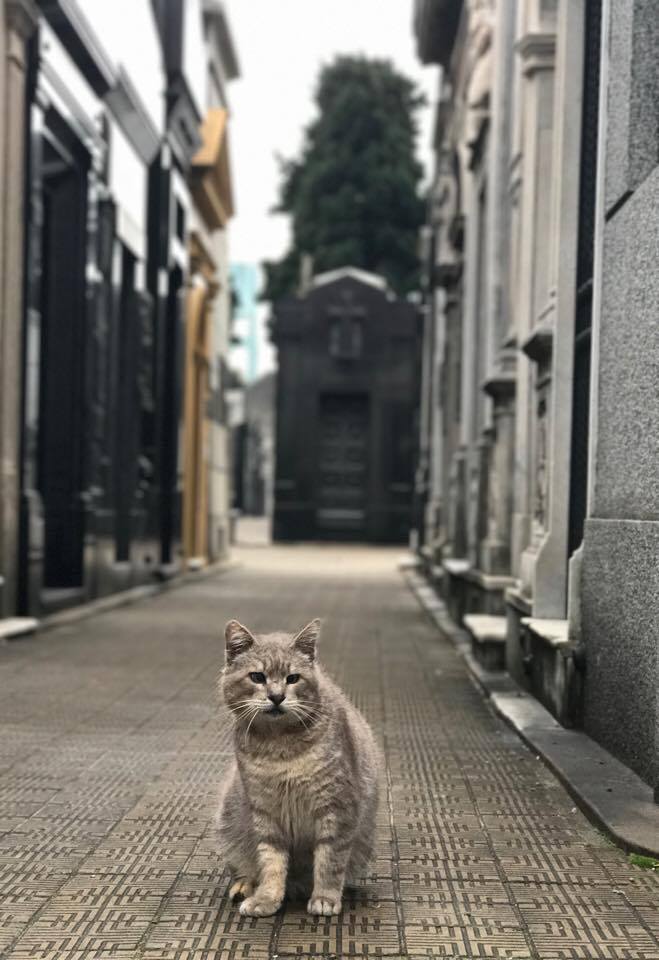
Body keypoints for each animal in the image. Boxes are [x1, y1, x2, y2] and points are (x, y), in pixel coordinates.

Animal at [218, 620, 378, 920]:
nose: (277, 696)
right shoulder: (266, 812)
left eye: (293, 678)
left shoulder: (337, 807)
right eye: (257, 677)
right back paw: (245, 886)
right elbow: (271, 862)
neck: (280, 745)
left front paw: (325, 898)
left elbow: (329, 860)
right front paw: (267, 898)